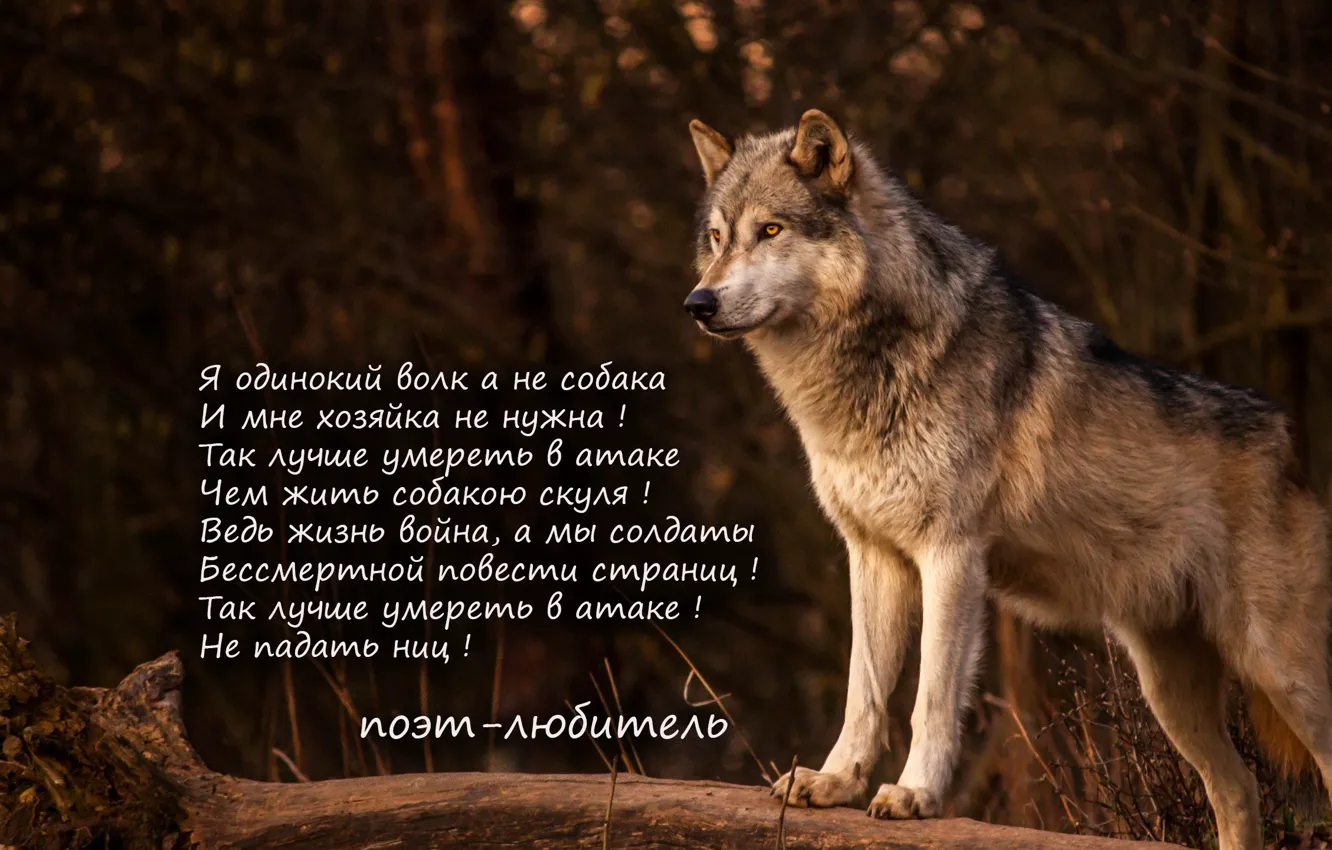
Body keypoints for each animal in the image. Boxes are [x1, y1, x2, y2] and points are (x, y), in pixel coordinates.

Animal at [682, 109, 1332, 850]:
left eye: (770, 231)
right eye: (716, 238)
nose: (698, 302)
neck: (866, 370)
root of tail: (1291, 444)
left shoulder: (950, 556)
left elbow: (931, 696)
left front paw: (914, 793)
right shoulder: (873, 556)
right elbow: (864, 690)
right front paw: (835, 782)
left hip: (1279, 672)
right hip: (1170, 691)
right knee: (1239, 789)